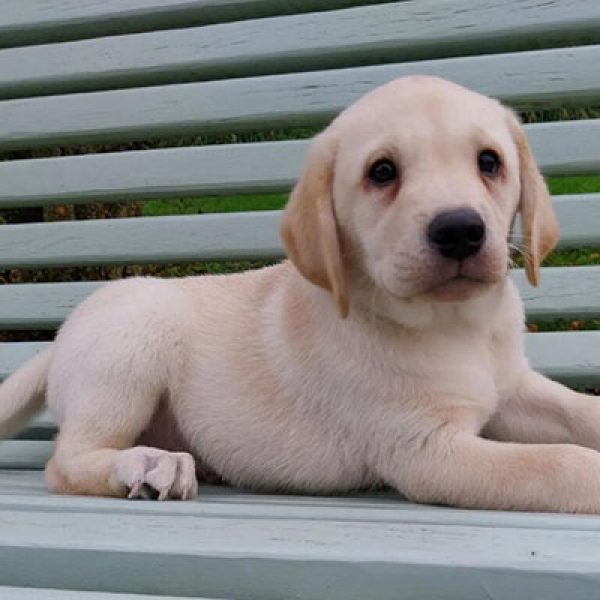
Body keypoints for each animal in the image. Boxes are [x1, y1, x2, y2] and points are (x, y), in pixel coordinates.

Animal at [1, 77, 600, 512]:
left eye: (489, 162)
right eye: (382, 172)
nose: (459, 231)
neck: (456, 325)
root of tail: (58, 341)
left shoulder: (513, 387)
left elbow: (579, 410)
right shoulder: (424, 450)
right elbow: (552, 463)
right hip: (131, 342)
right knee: (66, 461)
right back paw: (149, 464)